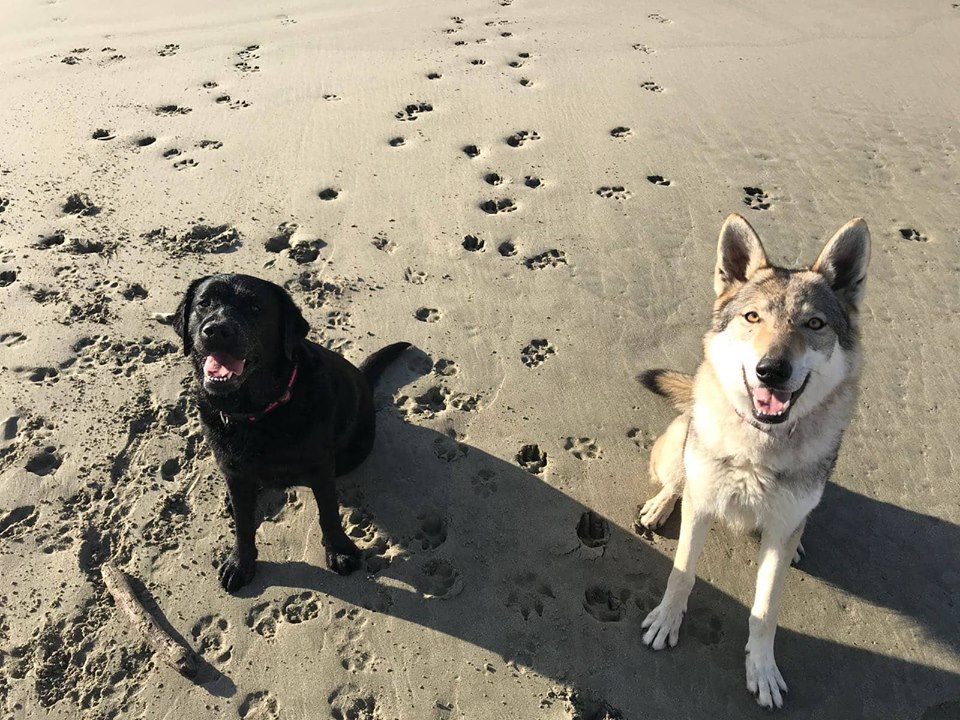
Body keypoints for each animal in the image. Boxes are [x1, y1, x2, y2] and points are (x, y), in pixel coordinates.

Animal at [172, 274, 408, 592]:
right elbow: (244, 525)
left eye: (256, 308)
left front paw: (339, 551)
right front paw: (239, 563)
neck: (257, 414)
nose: (217, 330)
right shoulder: (233, 468)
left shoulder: (320, 466)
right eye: (204, 303)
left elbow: (329, 513)